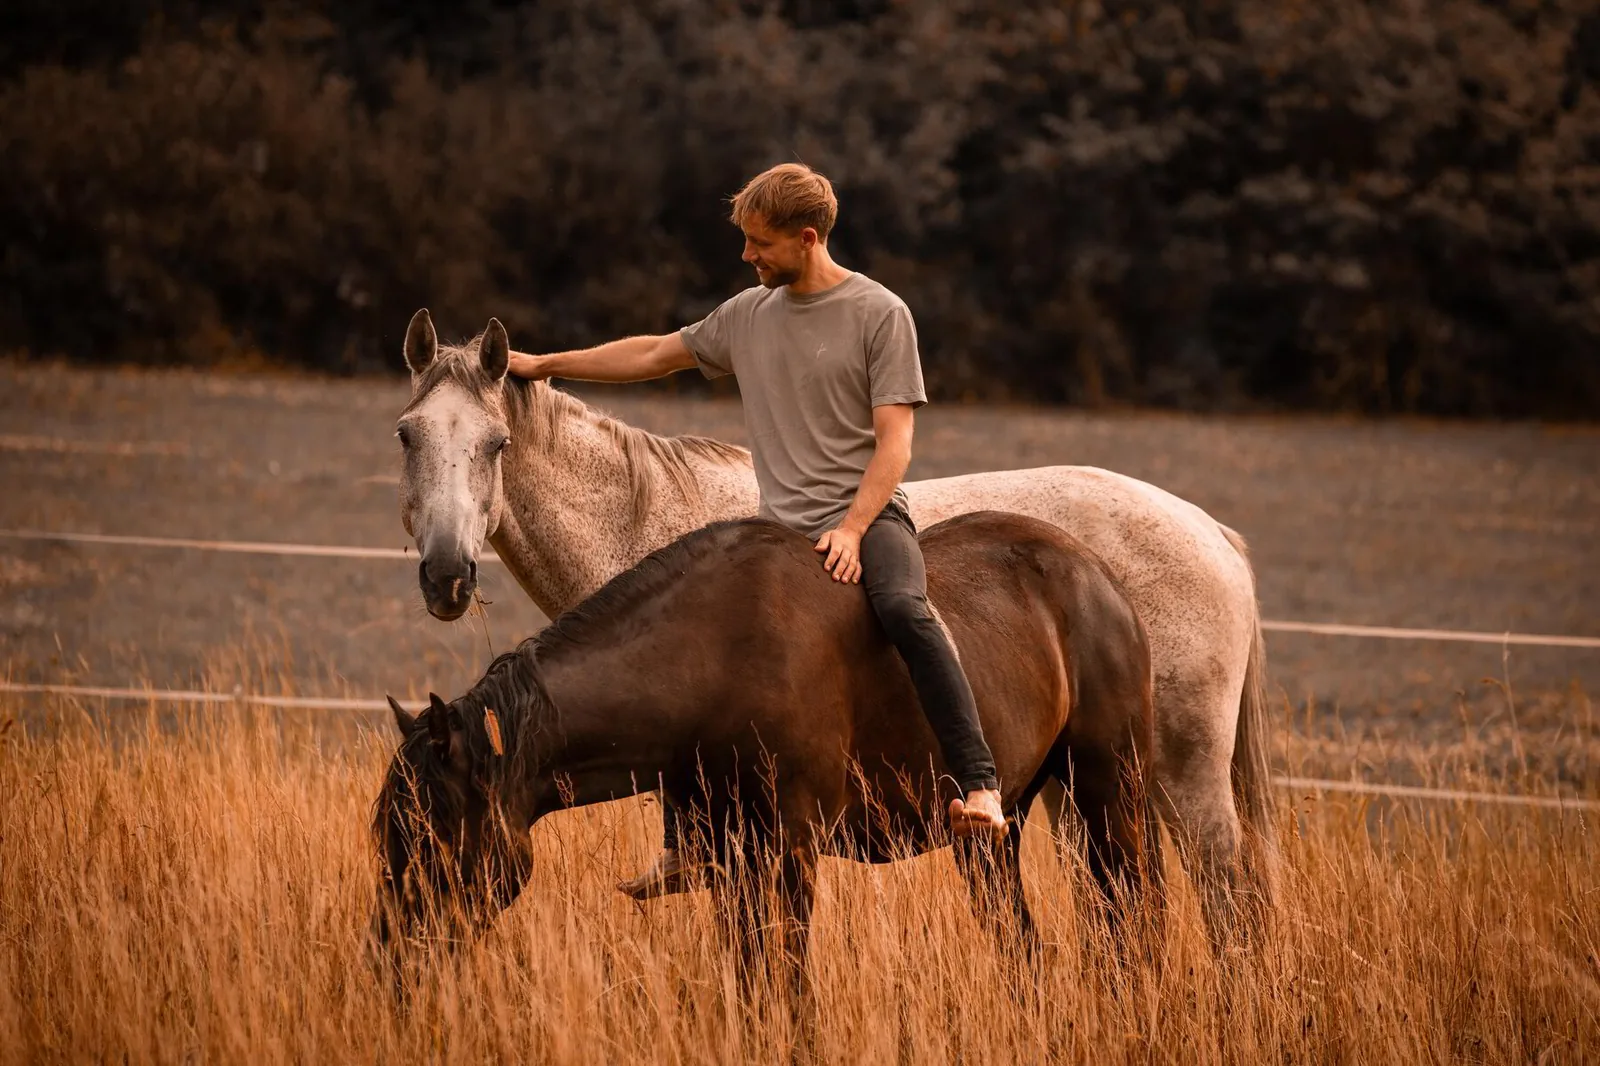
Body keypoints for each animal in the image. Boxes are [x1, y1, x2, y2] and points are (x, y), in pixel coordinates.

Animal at [370, 511, 1163, 994]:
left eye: (431, 835)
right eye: (388, 834)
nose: (388, 963)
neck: (714, 658)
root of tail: (1101, 576)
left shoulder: (788, 850)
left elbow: (784, 982)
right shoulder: (731, 860)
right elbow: (751, 979)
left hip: (1108, 799)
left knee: (1133, 919)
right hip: (993, 840)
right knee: (1024, 950)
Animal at [391, 311, 1275, 940]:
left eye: (497, 443)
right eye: (406, 435)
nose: (446, 574)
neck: (650, 526)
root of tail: (1215, 535)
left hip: (1175, 776)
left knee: (1228, 898)